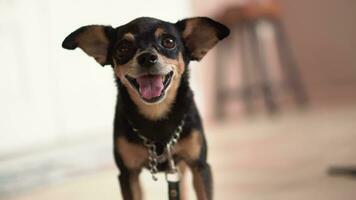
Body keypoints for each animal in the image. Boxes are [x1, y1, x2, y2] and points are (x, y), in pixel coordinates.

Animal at [62, 16, 229, 199]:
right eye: (122, 48)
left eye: (169, 42)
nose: (147, 57)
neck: (156, 114)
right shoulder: (128, 174)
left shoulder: (199, 166)